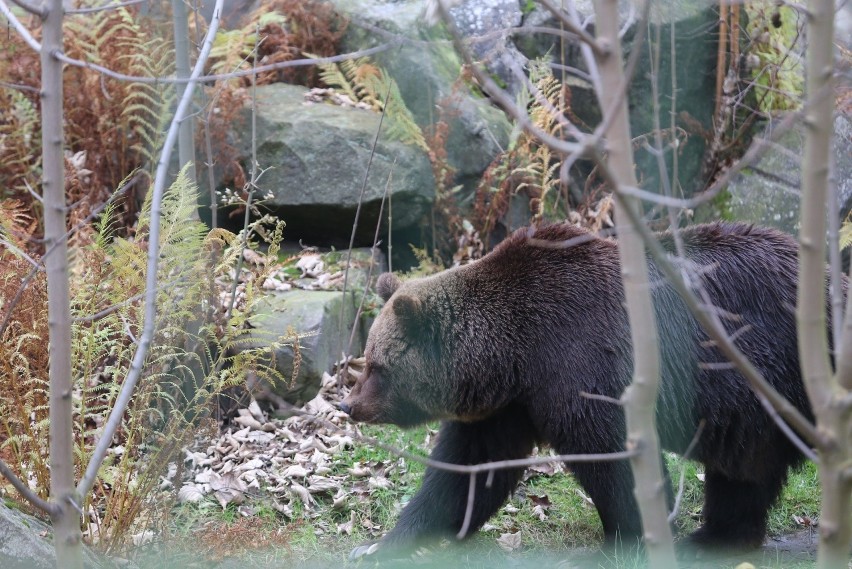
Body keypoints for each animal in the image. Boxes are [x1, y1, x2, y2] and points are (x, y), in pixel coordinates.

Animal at [338, 220, 824, 556]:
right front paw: (389, 542)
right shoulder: (511, 406)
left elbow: (612, 459)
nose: (347, 404)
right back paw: (717, 537)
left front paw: (629, 537)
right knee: (744, 472)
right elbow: (466, 472)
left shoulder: (580, 366)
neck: (514, 354)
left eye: (377, 366)